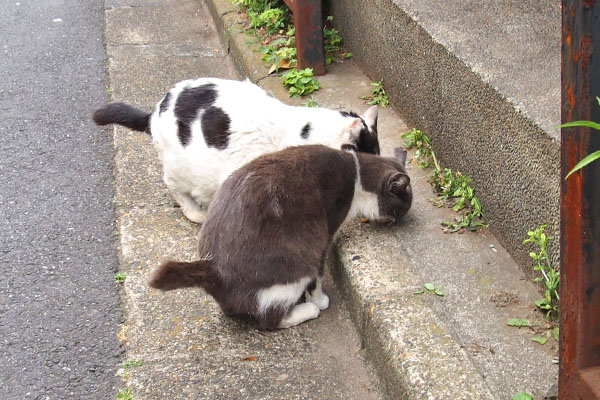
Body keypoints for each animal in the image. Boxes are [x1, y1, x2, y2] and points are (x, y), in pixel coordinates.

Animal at [149, 145, 412, 330]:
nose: (401, 219)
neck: (356, 174)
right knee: (269, 319)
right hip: (297, 260)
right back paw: (307, 310)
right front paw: (319, 300)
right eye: (404, 204)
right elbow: (318, 277)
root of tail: (213, 267)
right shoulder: (325, 234)